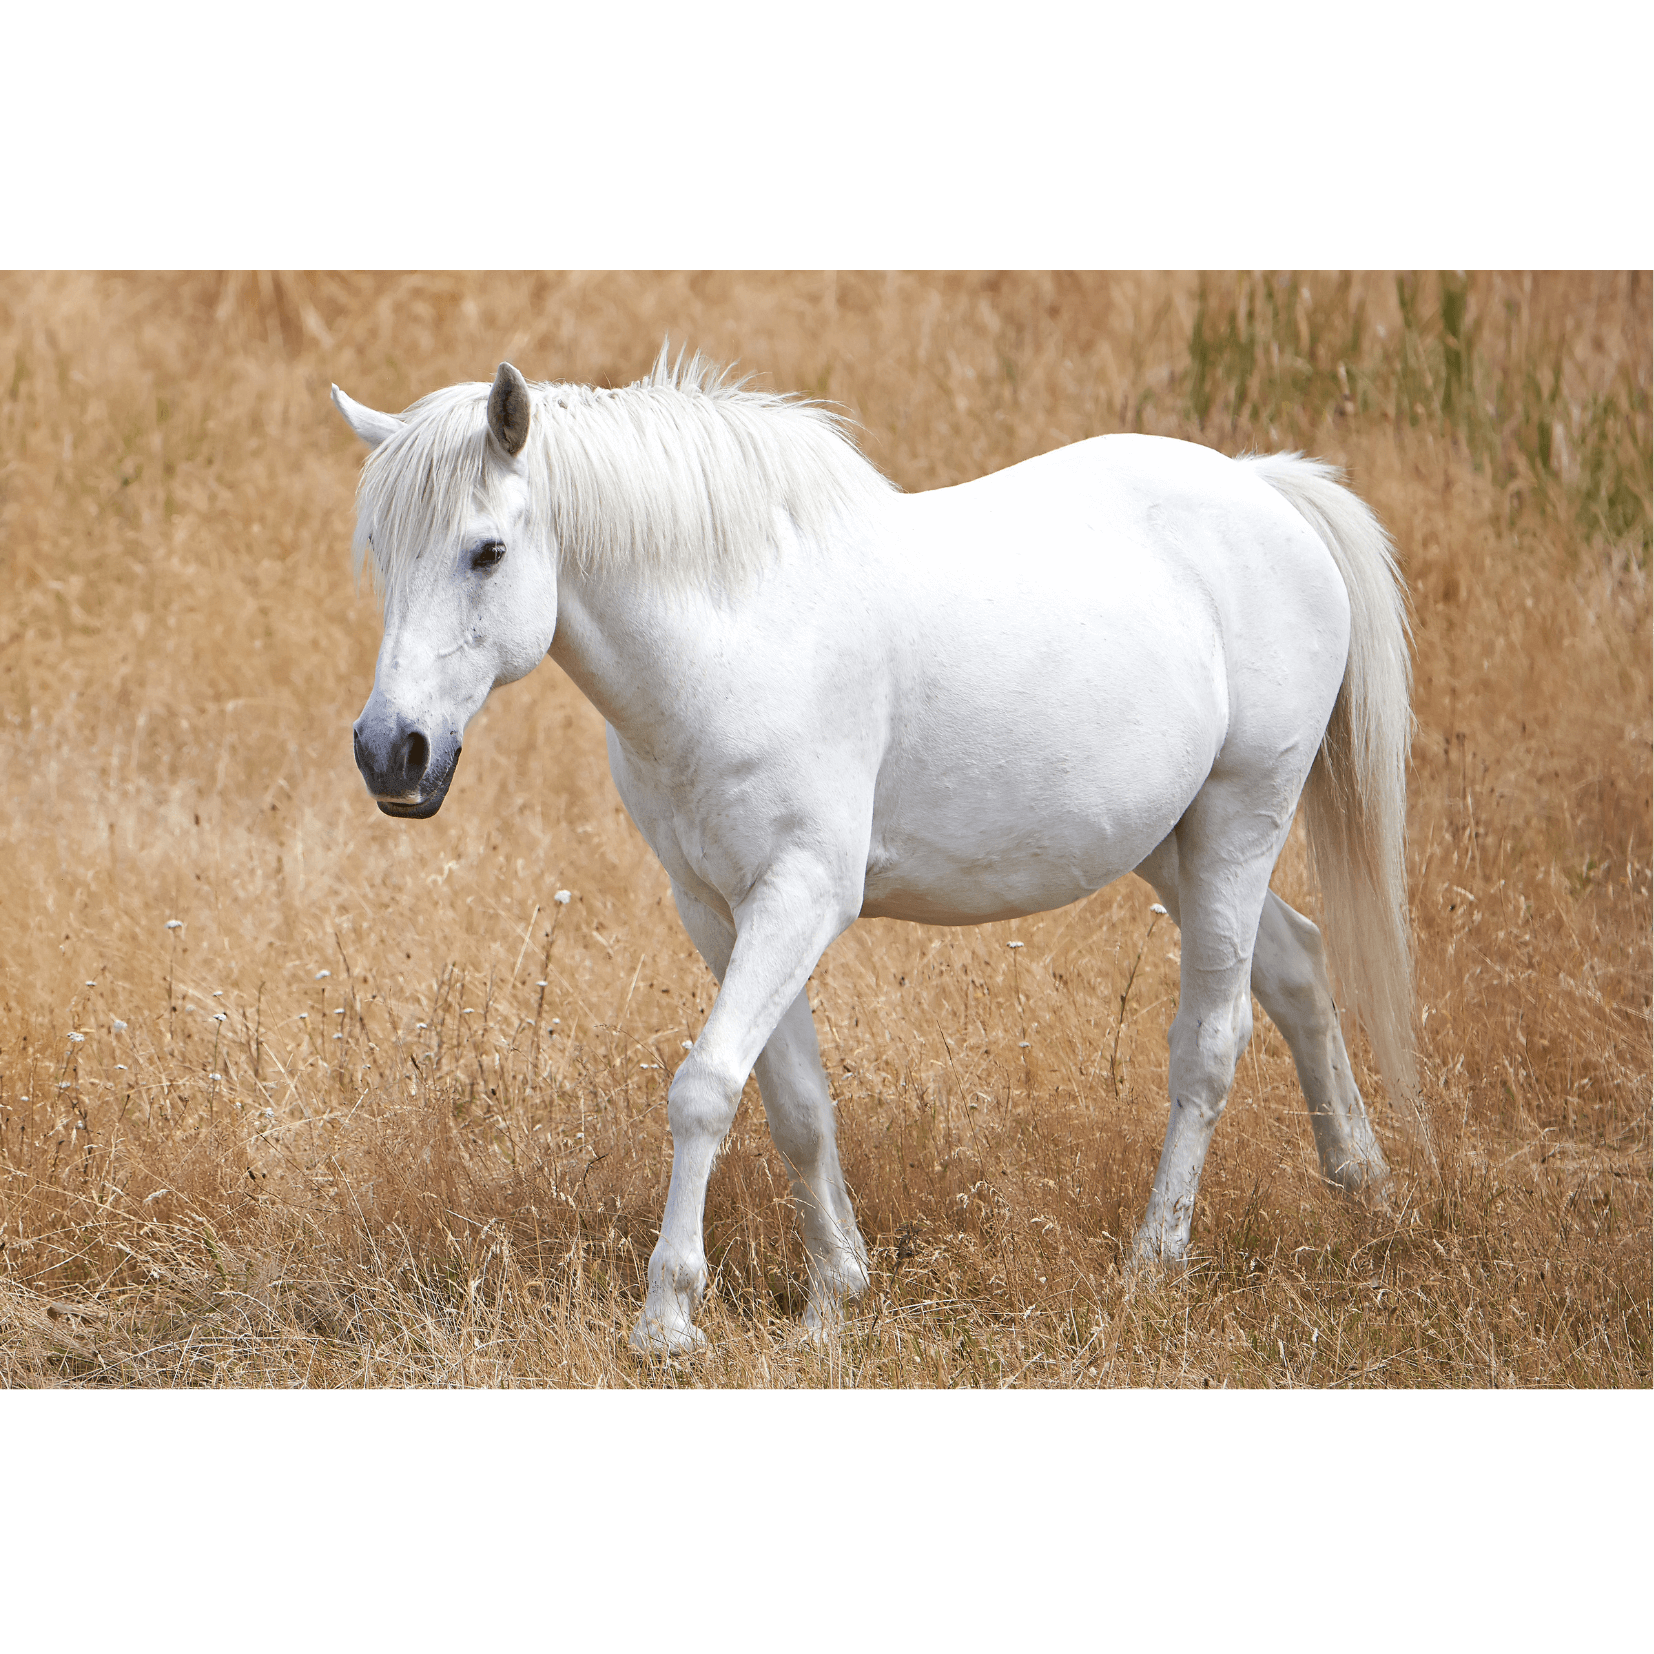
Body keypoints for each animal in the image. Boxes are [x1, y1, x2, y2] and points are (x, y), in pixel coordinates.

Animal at [331, 349, 1416, 1353]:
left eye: (486, 552)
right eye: (380, 546)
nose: (391, 751)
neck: (737, 637)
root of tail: (1265, 490)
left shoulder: (802, 894)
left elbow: (706, 1087)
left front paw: (668, 1317)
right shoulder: (716, 906)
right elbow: (794, 1101)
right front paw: (833, 1297)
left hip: (1240, 818)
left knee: (1211, 1038)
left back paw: (1156, 1258)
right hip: (1172, 842)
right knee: (1297, 966)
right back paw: (1365, 1191)